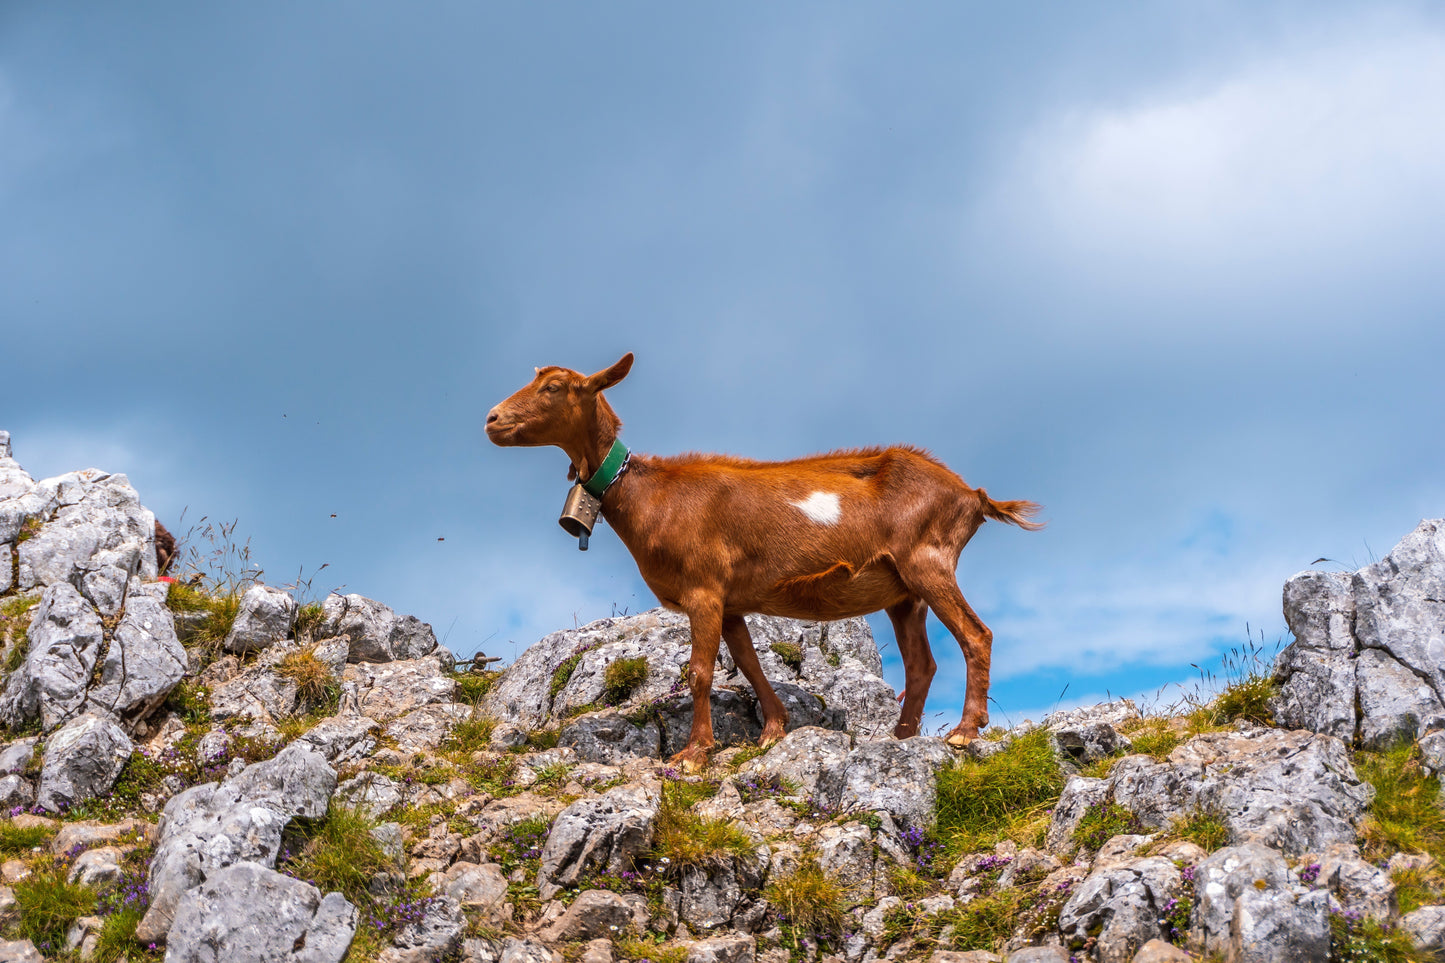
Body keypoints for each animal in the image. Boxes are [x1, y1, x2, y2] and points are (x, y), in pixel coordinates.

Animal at [486, 353, 1042, 769]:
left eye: (555, 386)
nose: (492, 419)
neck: (652, 496)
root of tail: (970, 494)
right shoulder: (730, 601)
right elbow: (750, 664)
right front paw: (774, 730)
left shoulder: (704, 590)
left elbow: (700, 672)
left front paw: (693, 754)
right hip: (903, 591)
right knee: (921, 663)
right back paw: (901, 737)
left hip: (929, 560)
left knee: (976, 635)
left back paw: (965, 732)